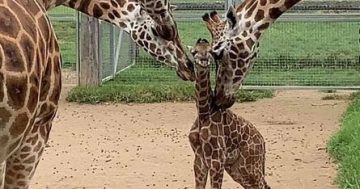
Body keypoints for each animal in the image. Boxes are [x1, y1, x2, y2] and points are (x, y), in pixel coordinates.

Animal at [188, 38, 270, 189]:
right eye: (194, 52)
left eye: (210, 51)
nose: (203, 60)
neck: (203, 112)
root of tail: (262, 142)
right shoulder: (199, 159)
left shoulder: (217, 160)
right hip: (237, 168)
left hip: (251, 164)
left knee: (262, 185)